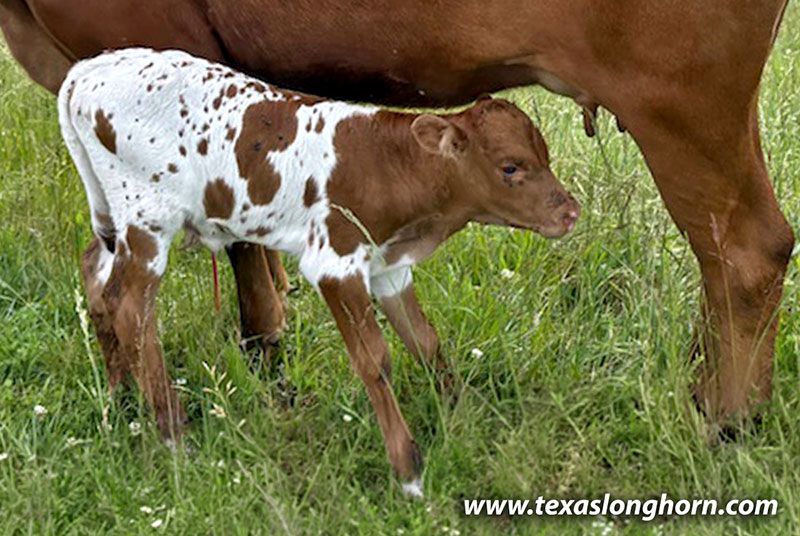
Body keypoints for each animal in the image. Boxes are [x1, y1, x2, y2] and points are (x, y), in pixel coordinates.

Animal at [59, 48, 580, 493]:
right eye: (510, 167)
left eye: (546, 156)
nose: (570, 212)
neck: (387, 164)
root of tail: (91, 68)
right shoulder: (334, 264)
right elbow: (375, 360)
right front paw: (408, 469)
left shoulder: (389, 266)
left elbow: (425, 341)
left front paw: (461, 416)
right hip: (148, 219)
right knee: (132, 309)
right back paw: (173, 434)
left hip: (116, 221)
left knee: (96, 277)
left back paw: (121, 397)